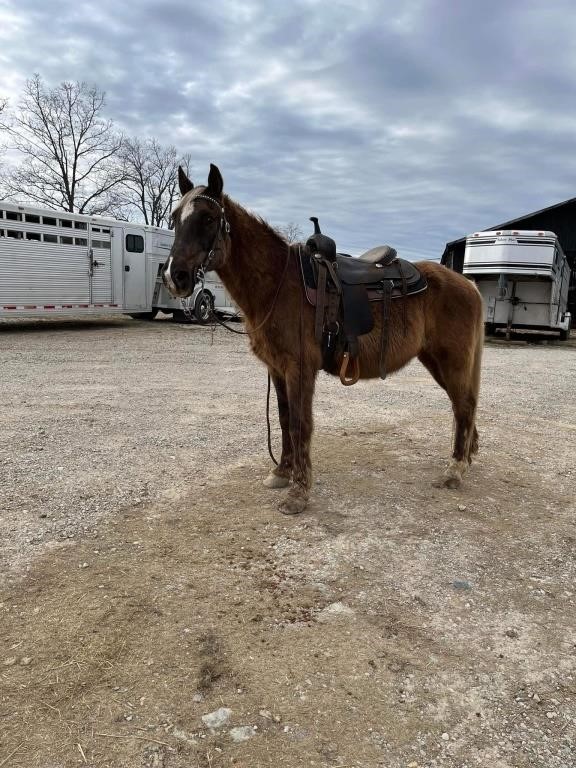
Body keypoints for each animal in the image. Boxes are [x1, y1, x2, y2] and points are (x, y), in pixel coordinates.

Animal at [161, 166, 482, 516]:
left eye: (208, 218)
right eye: (175, 217)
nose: (174, 276)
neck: (279, 284)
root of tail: (467, 284)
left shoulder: (300, 368)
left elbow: (301, 424)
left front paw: (299, 493)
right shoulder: (278, 369)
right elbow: (284, 419)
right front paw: (282, 472)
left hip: (451, 361)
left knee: (464, 406)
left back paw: (454, 471)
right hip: (436, 362)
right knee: (463, 406)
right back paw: (466, 458)